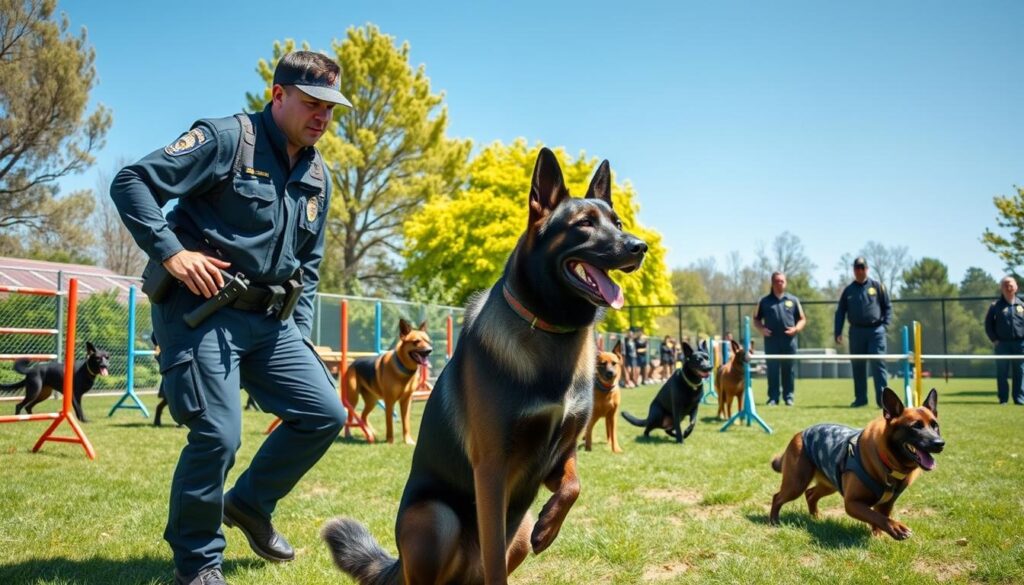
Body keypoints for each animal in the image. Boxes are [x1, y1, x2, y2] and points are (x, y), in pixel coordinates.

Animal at [770, 389, 942, 540]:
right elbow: (877, 517)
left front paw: (878, 537)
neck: (888, 463)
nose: (940, 443)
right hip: (796, 484)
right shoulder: (852, 503)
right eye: (915, 426)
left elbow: (879, 518)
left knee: (810, 494)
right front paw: (896, 528)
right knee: (777, 497)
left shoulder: (886, 504)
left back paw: (815, 517)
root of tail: (801, 433)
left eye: (935, 426)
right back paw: (774, 521)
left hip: (829, 484)